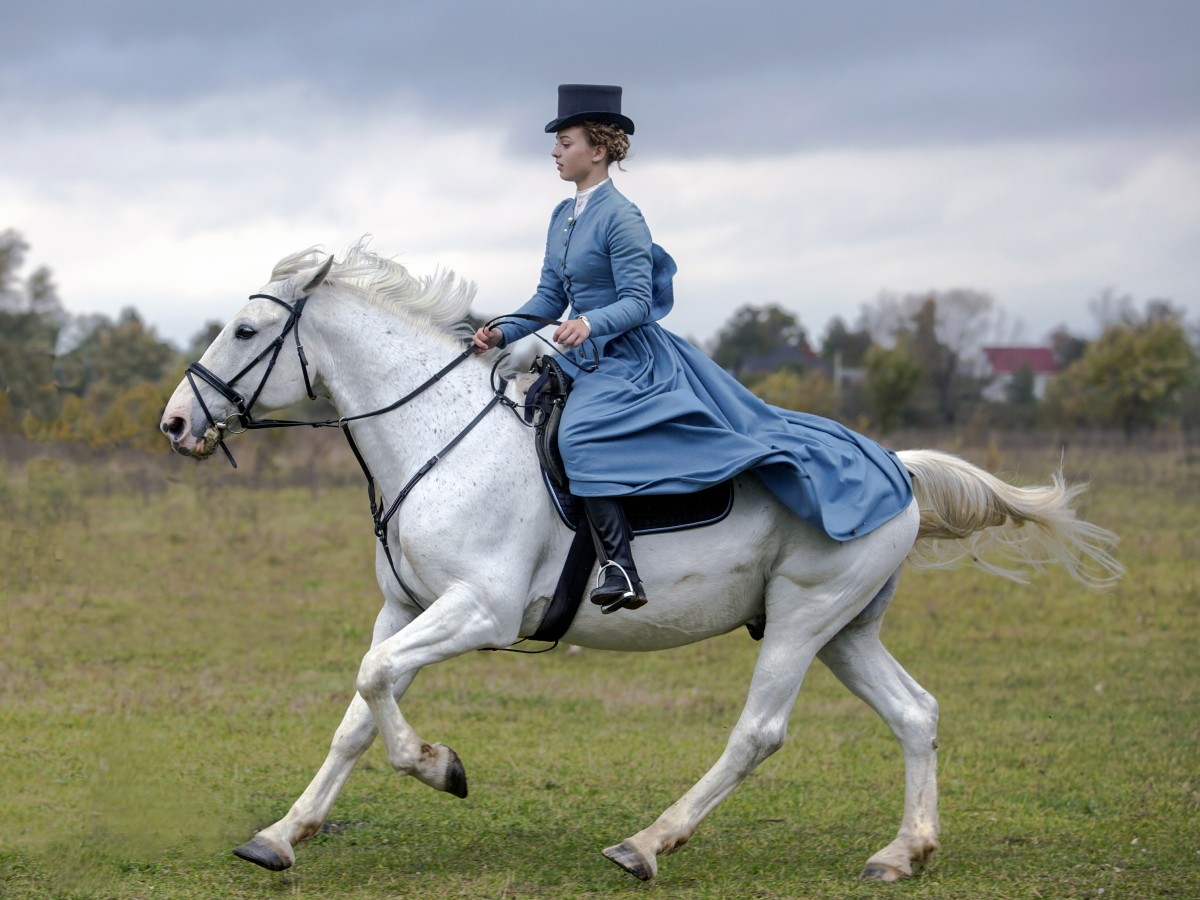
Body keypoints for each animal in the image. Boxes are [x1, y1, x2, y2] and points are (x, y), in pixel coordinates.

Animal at [162, 247, 1123, 888]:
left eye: (245, 329)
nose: (175, 423)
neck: (441, 438)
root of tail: (895, 464)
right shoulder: (405, 608)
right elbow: (360, 709)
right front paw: (282, 834)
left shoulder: (478, 611)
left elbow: (378, 687)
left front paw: (440, 766)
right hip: (845, 629)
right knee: (916, 714)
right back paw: (903, 851)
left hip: (806, 618)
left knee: (758, 733)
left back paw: (648, 844)